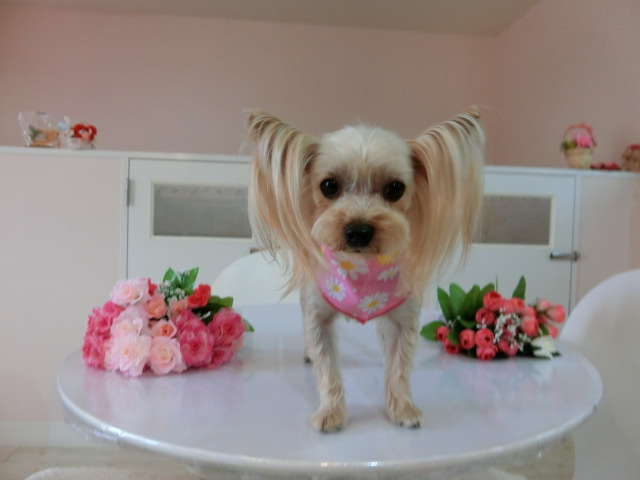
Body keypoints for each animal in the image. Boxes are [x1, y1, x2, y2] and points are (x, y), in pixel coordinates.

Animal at [246, 108, 484, 432]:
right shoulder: (317, 317)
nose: (358, 230)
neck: (362, 268)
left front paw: (403, 408)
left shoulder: (404, 319)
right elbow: (327, 367)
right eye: (328, 185)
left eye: (395, 188)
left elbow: (399, 367)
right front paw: (331, 412)